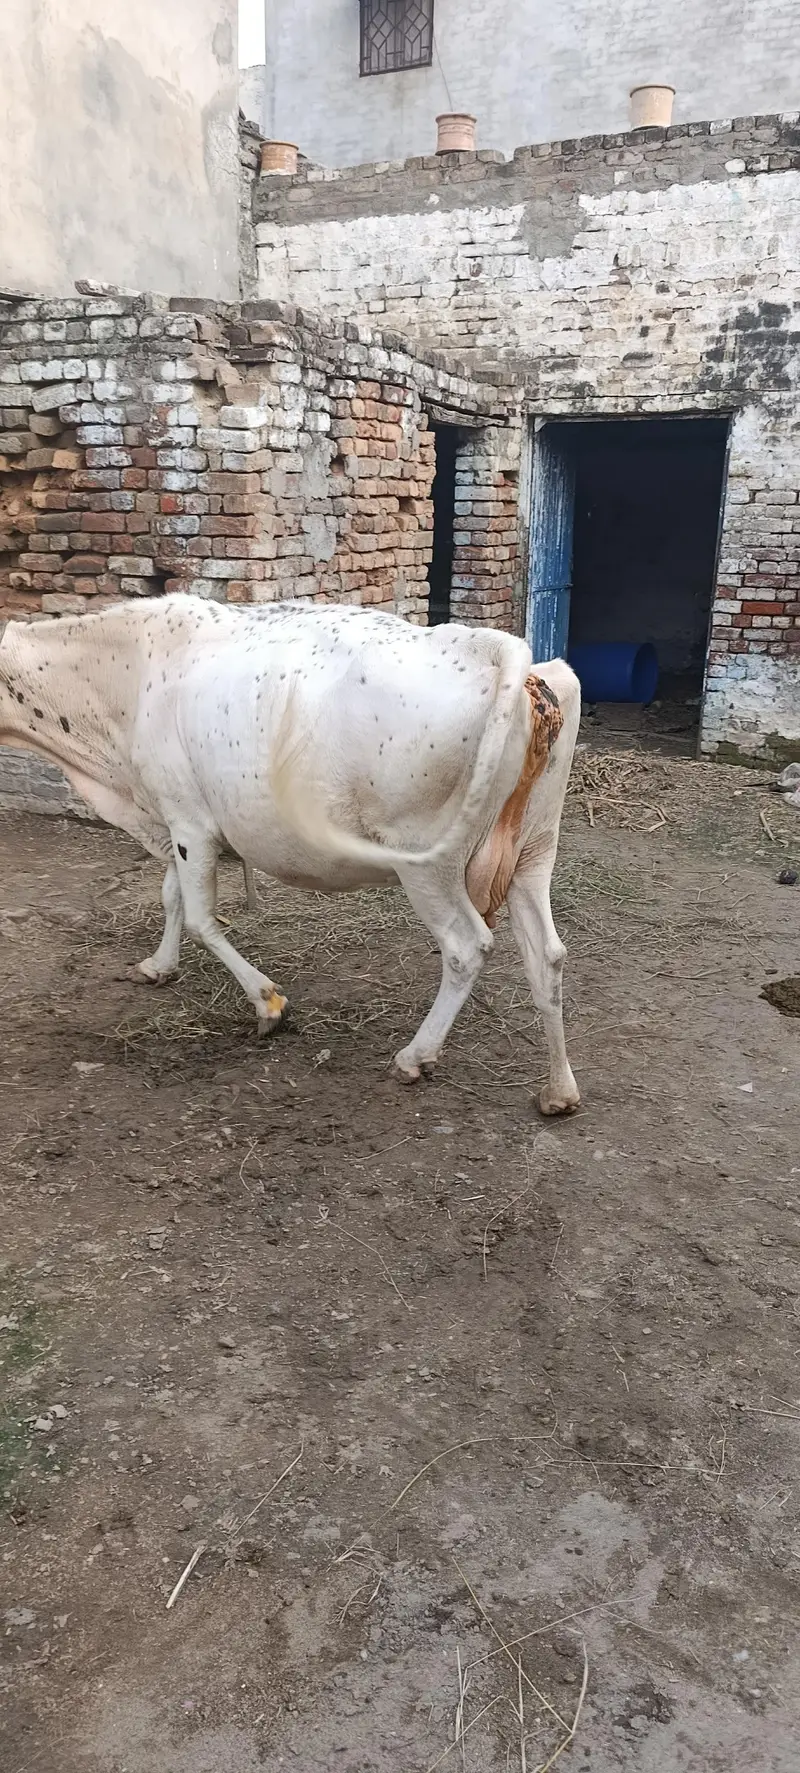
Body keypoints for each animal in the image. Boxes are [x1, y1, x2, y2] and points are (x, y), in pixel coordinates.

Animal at [0, 596, 581, 1115]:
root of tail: (494, 650)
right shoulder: (170, 819)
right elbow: (171, 898)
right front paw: (158, 966)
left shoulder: (188, 820)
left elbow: (200, 919)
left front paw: (269, 1004)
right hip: (533, 850)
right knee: (547, 955)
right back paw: (559, 1091)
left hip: (425, 862)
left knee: (466, 947)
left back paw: (414, 1057)